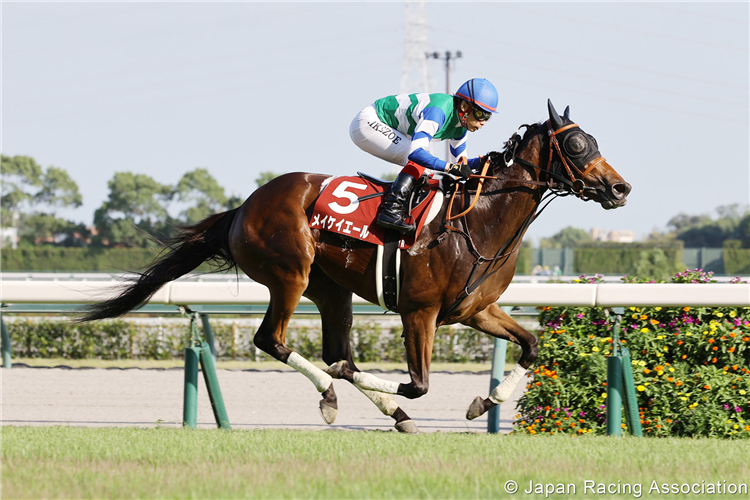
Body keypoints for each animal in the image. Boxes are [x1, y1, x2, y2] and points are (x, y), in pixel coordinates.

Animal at [81, 100, 628, 434]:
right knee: (277, 342)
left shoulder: (474, 310)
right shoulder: (419, 312)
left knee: (333, 352)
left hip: (330, 289)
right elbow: (419, 383)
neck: (479, 219)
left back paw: (384, 409)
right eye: (577, 144)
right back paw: (334, 394)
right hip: (291, 273)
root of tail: (243, 207)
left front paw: (484, 404)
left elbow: (532, 346)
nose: (620, 188)